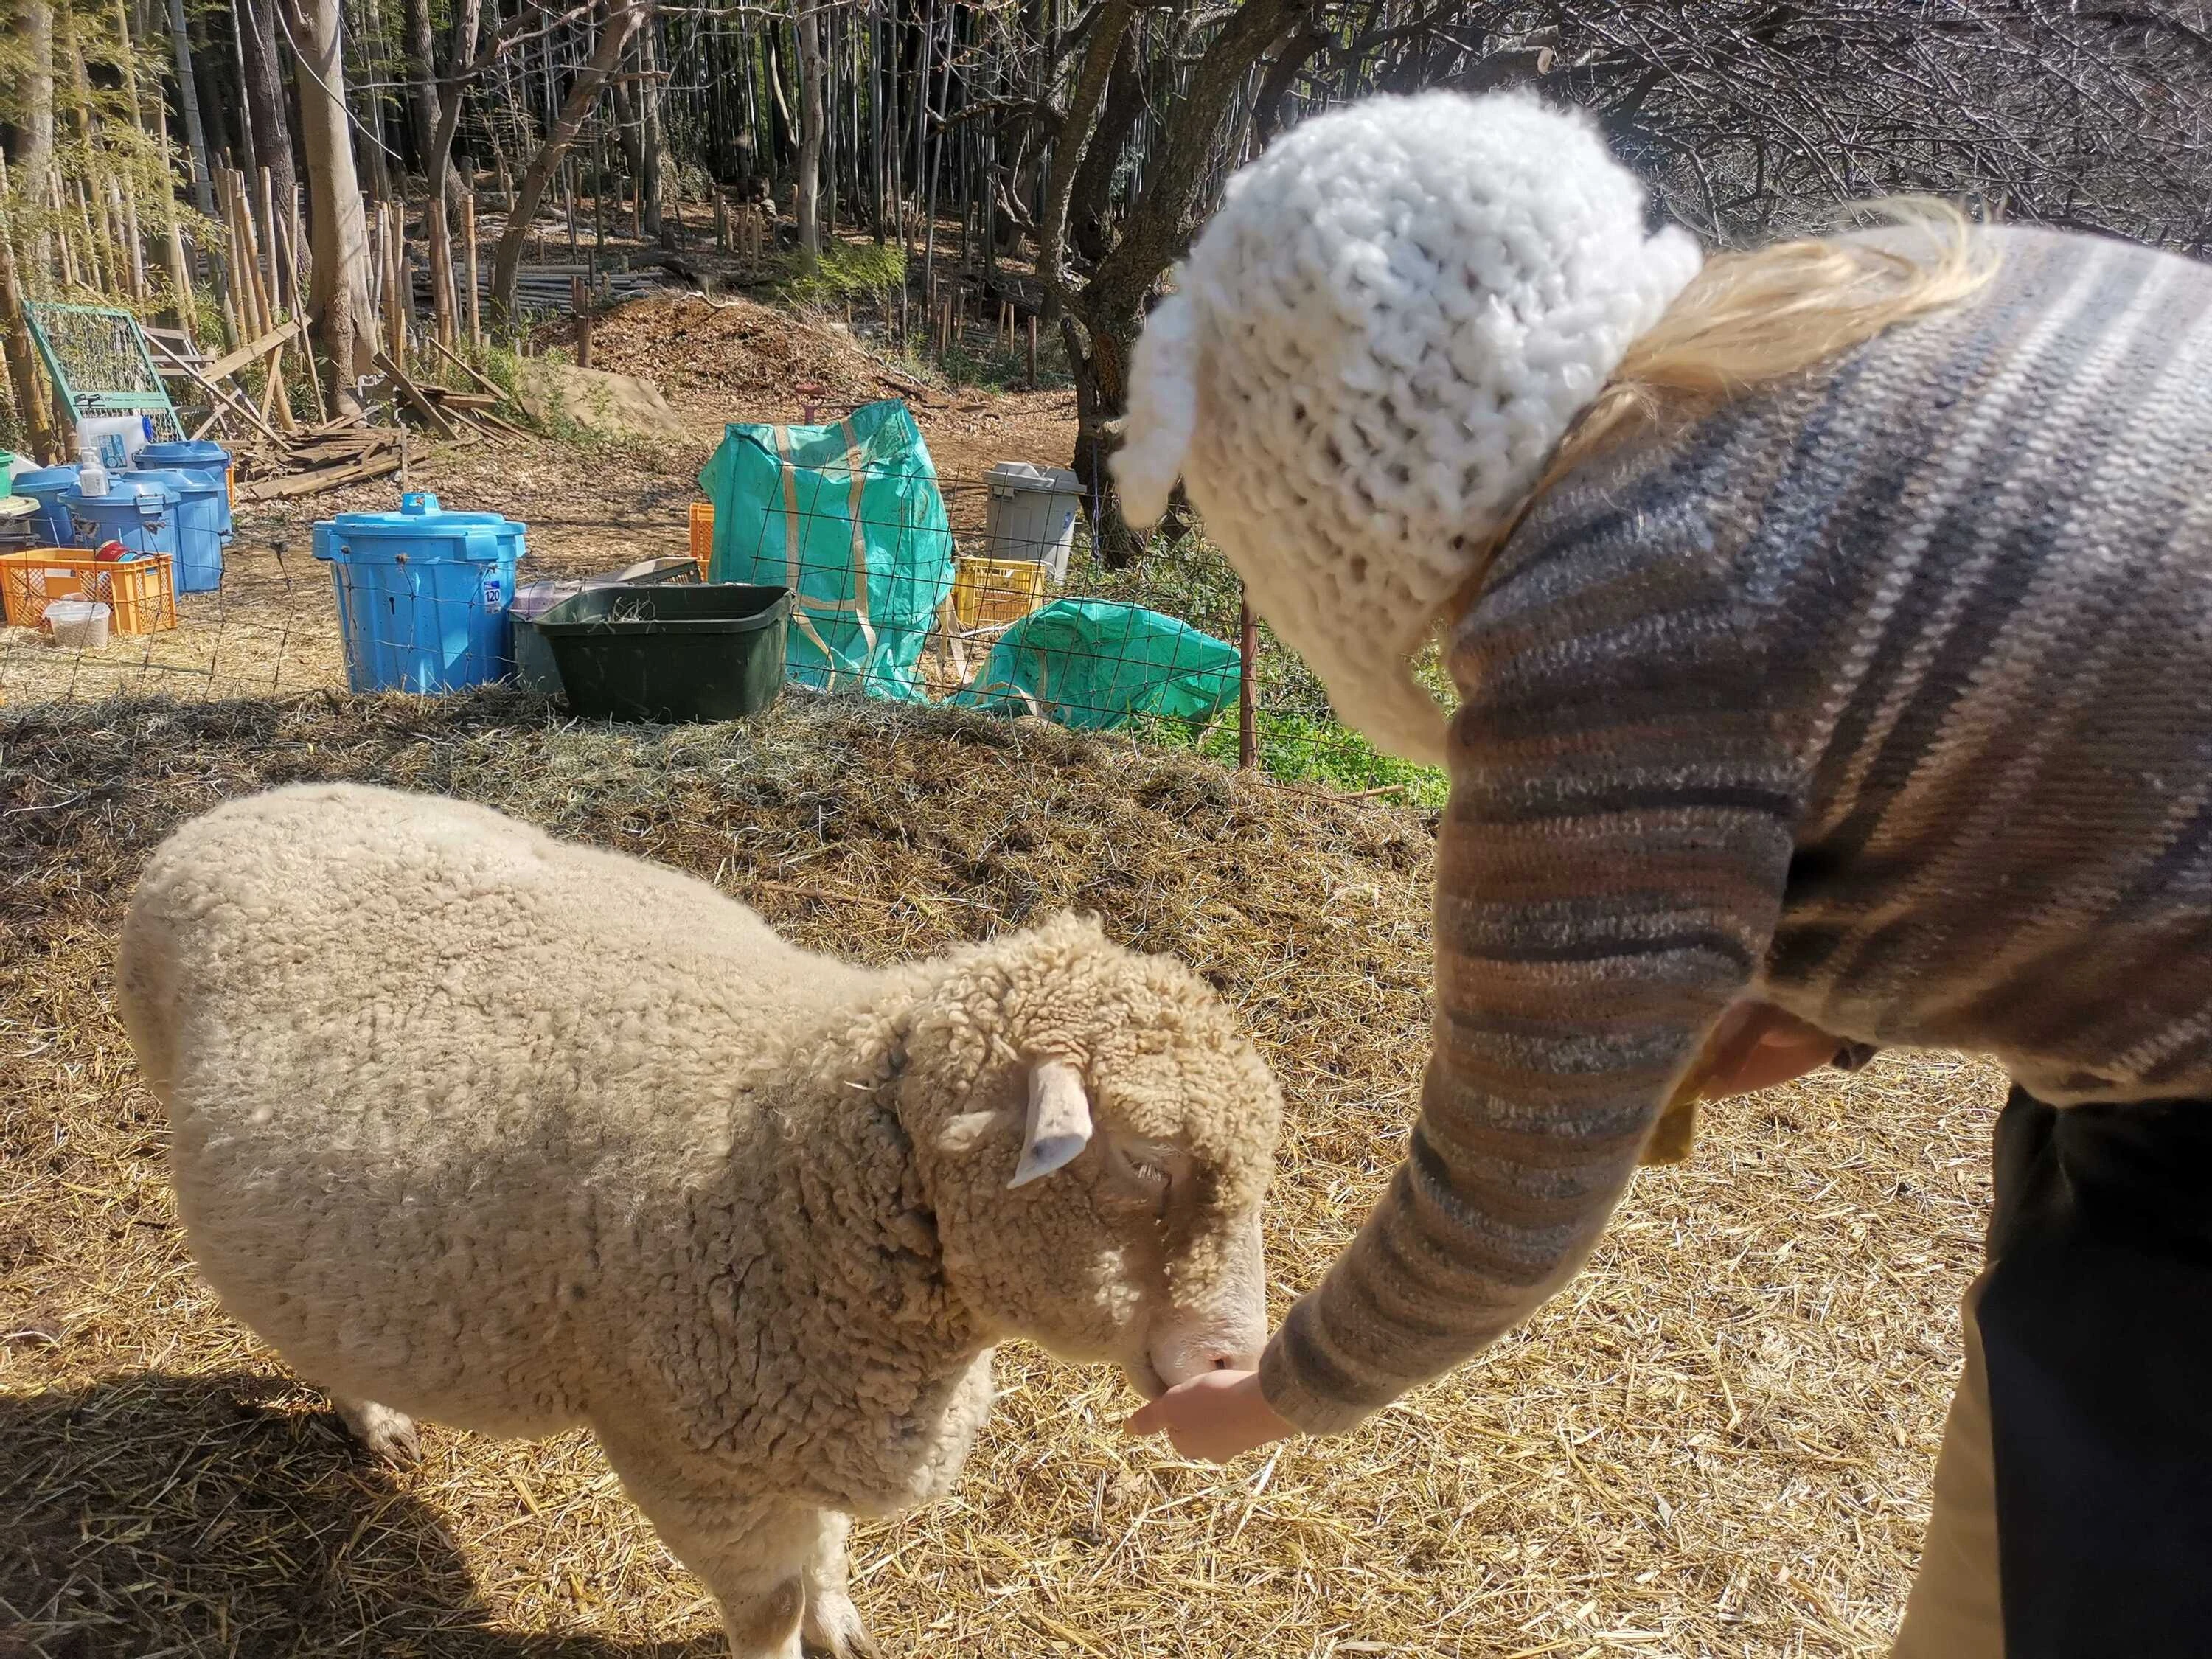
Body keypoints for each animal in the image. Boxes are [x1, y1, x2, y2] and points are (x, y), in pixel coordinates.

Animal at [118, 781, 1282, 1659]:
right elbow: (766, 1606)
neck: (802, 1145)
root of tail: (232, 811)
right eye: (1144, 1160)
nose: (1234, 1361)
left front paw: (843, 1619)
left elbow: (827, 1545)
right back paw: (373, 1419)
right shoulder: (690, 1459)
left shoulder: (812, 1415)